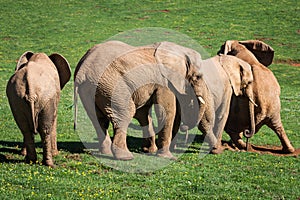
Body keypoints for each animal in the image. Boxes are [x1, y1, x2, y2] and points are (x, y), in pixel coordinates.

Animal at [73, 40, 203, 161]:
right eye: (198, 77)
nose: (184, 127)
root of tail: (82, 70)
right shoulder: (164, 82)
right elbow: (165, 110)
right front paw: (168, 157)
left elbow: (143, 113)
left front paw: (149, 151)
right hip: (112, 86)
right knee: (124, 114)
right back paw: (126, 157)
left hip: (92, 88)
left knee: (99, 119)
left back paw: (107, 153)